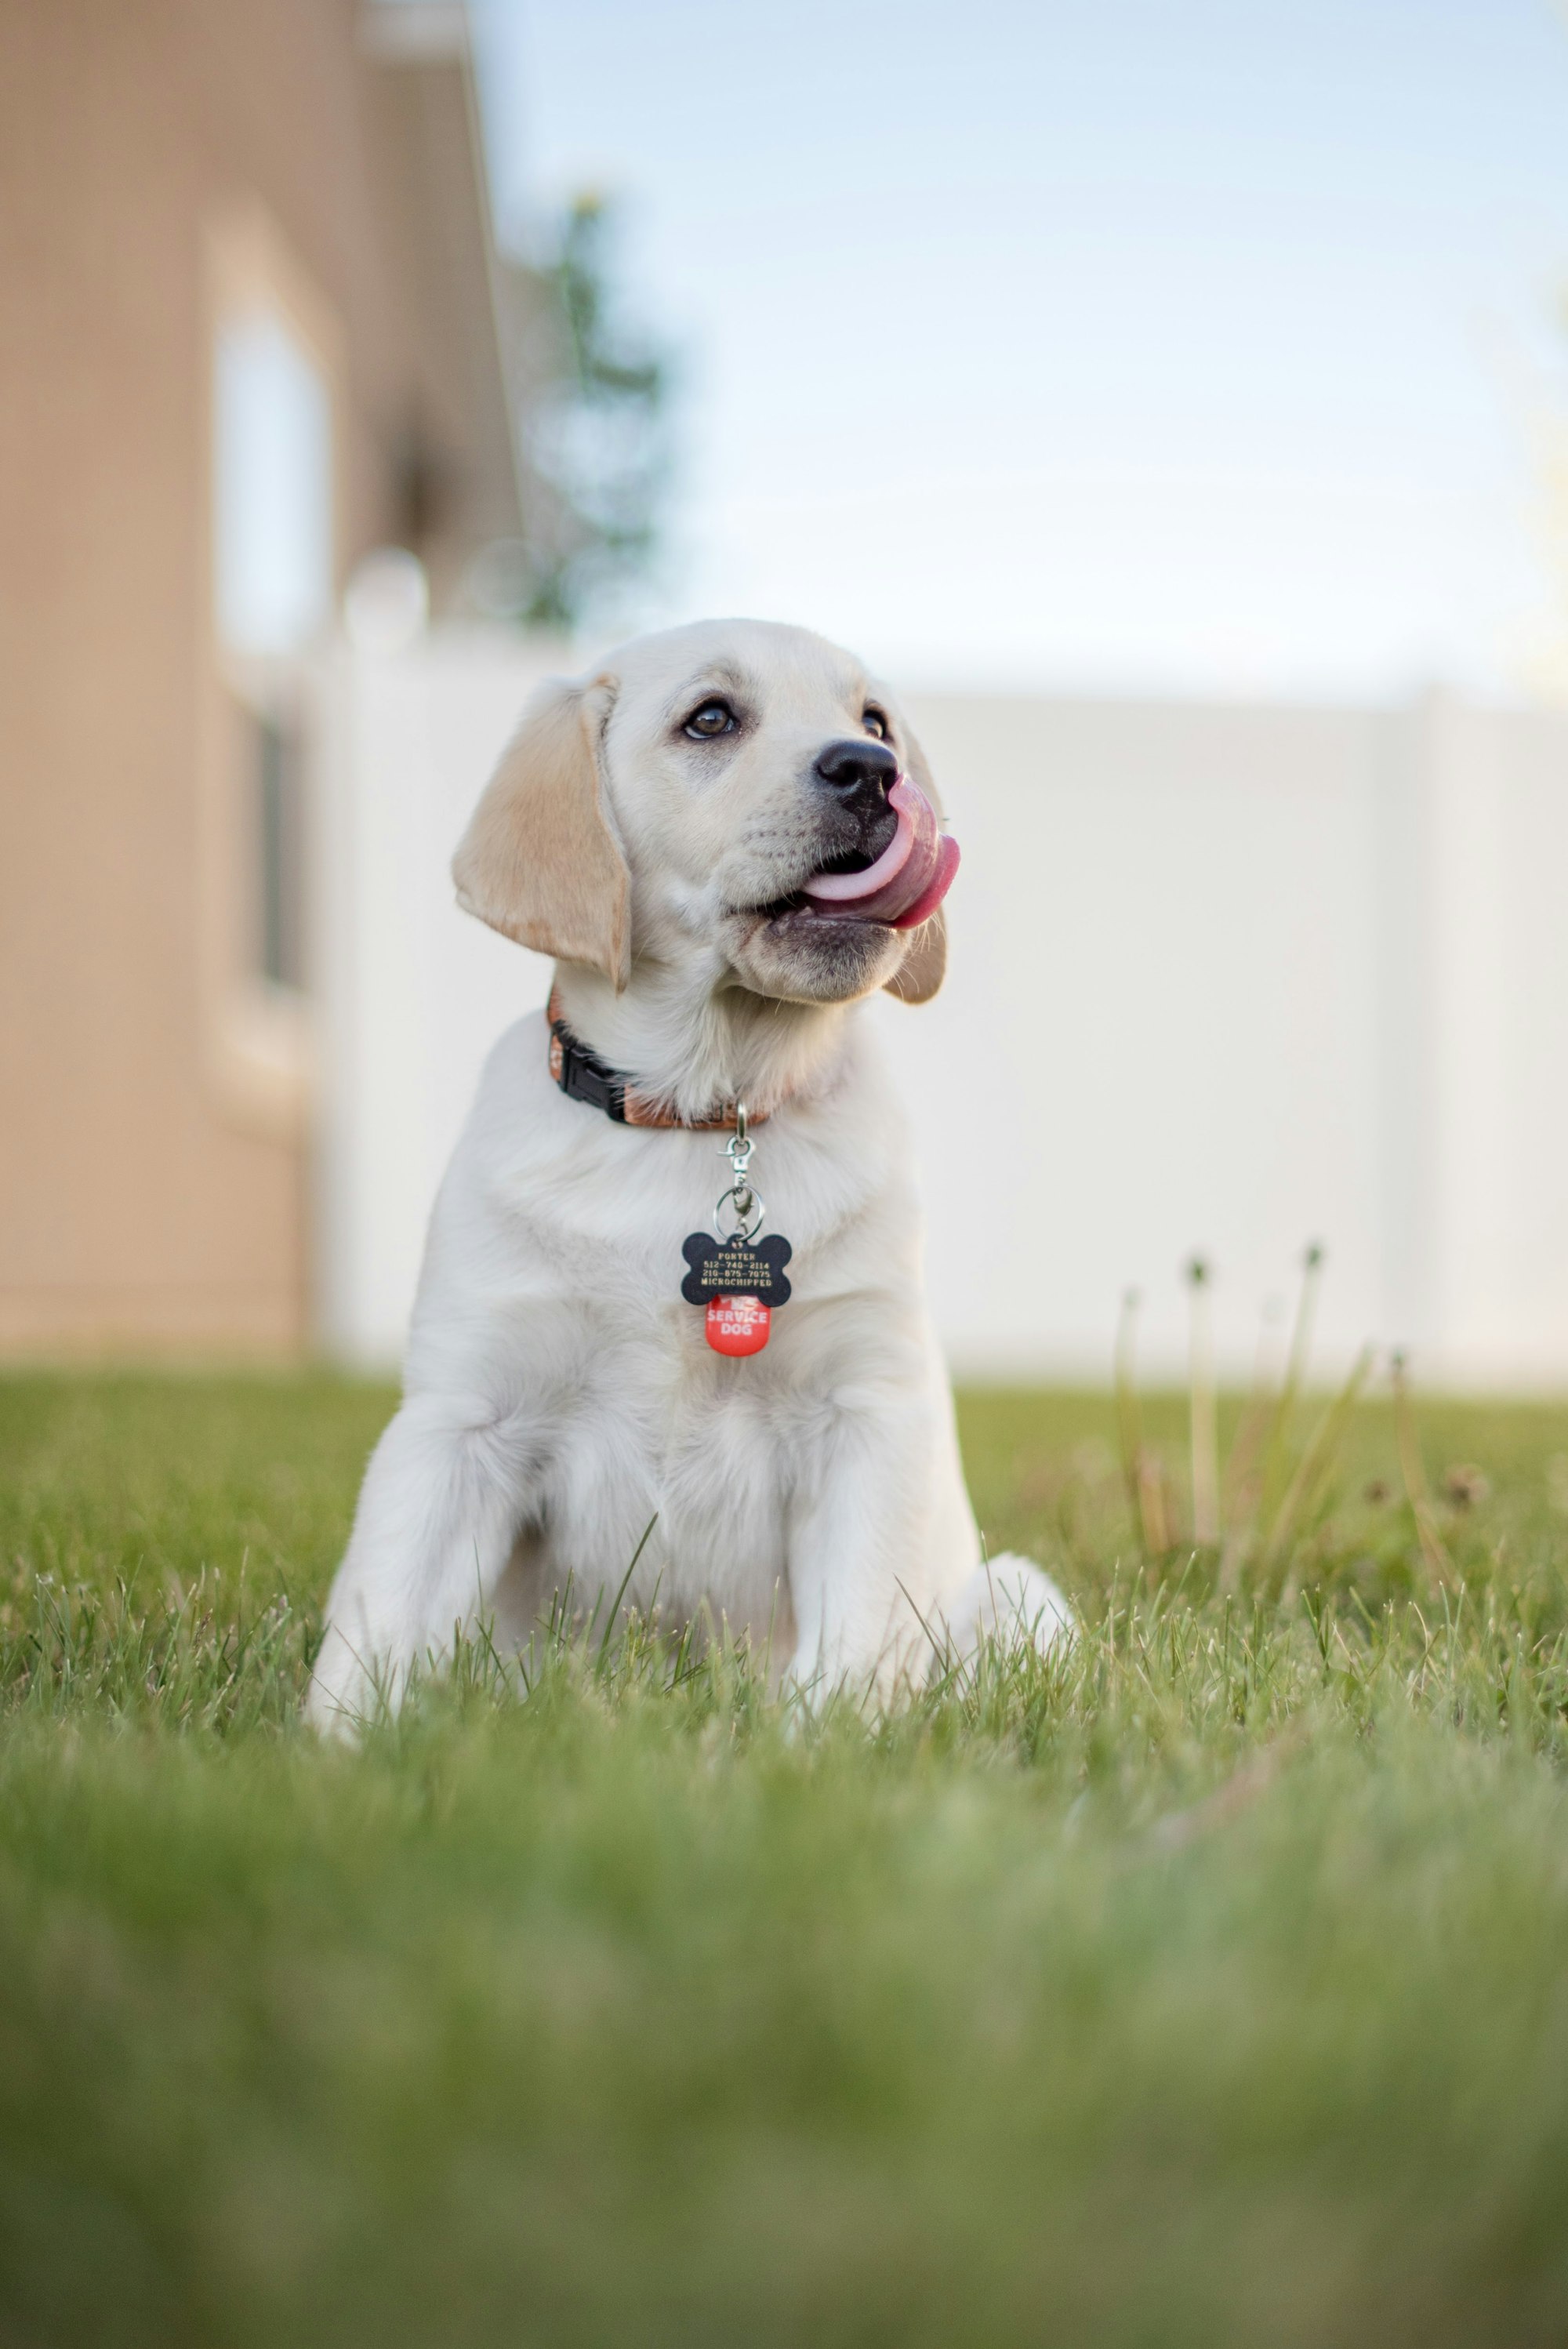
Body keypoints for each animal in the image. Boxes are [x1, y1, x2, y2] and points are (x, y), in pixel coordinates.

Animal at [305, 624, 1065, 1729]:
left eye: (874, 722)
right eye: (710, 718)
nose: (871, 771)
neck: (706, 1112)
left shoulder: (866, 1412)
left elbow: (852, 1641)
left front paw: (820, 1748)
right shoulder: (461, 1418)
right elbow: (378, 1620)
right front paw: (337, 1751)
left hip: (1018, 1592)